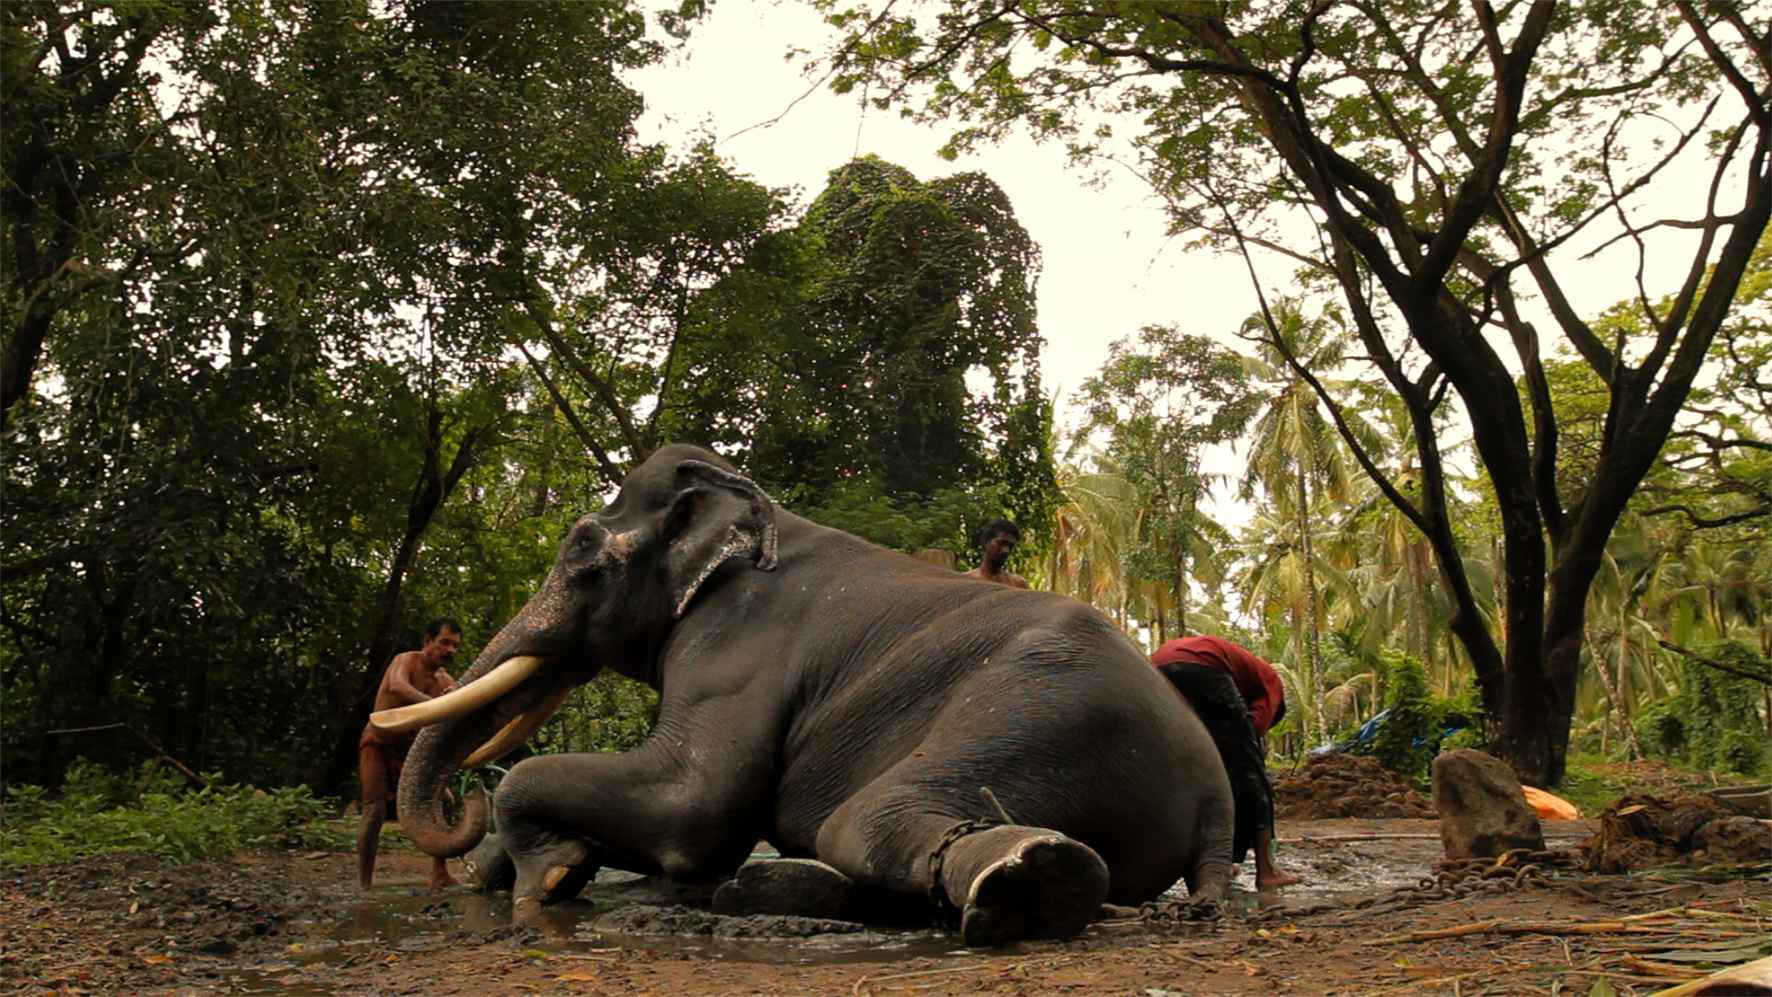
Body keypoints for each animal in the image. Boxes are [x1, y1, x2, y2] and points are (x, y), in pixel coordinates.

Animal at [372, 444, 1233, 946]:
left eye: (584, 555)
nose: (463, 802)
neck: (755, 506)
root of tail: (1212, 789)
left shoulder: (735, 643)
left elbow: (696, 805)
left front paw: (548, 874)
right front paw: (527, 869)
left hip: (1047, 699)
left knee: (864, 820)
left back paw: (1032, 878)